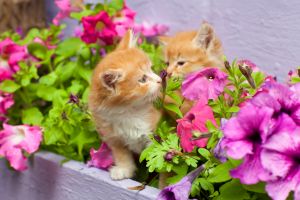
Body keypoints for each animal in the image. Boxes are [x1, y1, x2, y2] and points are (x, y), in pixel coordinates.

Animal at [88, 30, 162, 180]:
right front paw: (123, 169)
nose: (160, 80)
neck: (128, 112)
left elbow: (156, 152)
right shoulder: (113, 137)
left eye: (151, 69)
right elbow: (122, 155)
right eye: (143, 79)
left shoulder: (153, 130)